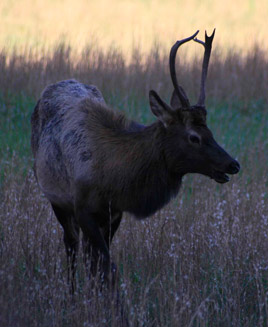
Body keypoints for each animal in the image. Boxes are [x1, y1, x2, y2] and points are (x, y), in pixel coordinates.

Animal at [30, 30, 240, 290]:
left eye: (210, 131)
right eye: (194, 137)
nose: (233, 164)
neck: (114, 178)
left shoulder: (114, 213)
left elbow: (100, 266)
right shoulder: (82, 207)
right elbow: (107, 267)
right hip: (56, 199)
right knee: (71, 246)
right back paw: (71, 291)